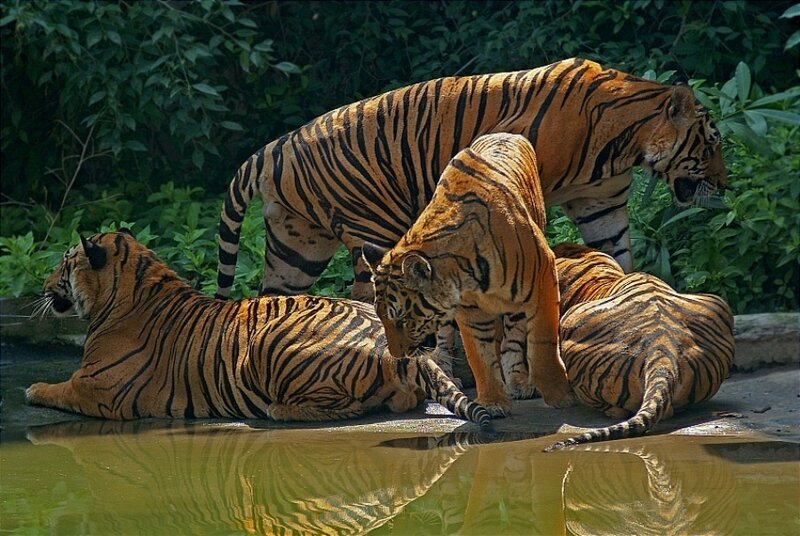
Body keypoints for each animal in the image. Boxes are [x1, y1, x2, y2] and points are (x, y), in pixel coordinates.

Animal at [25, 230, 490, 428]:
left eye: (64, 264)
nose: (43, 287)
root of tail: (399, 350)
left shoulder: (94, 387)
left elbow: (53, 389)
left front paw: (31, 388)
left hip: (264, 348)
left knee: (350, 408)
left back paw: (278, 410)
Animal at [215, 57, 725, 305]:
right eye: (712, 143)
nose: (724, 184)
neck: (625, 143)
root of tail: (273, 147)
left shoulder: (602, 205)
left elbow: (619, 256)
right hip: (370, 226)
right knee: (364, 290)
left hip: (296, 247)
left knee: (269, 298)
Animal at [361, 133, 575, 417]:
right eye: (382, 317)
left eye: (403, 320)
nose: (397, 357)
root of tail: (505, 133)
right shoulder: (469, 311)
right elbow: (479, 355)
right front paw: (493, 402)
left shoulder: (543, 279)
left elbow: (542, 344)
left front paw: (560, 396)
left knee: (514, 336)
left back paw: (518, 381)